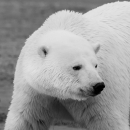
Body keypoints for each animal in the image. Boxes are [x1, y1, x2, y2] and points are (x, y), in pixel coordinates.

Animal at [4, 1, 130, 130]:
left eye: (96, 65)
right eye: (76, 67)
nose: (98, 85)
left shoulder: (103, 93)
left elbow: (107, 121)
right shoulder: (35, 91)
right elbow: (26, 120)